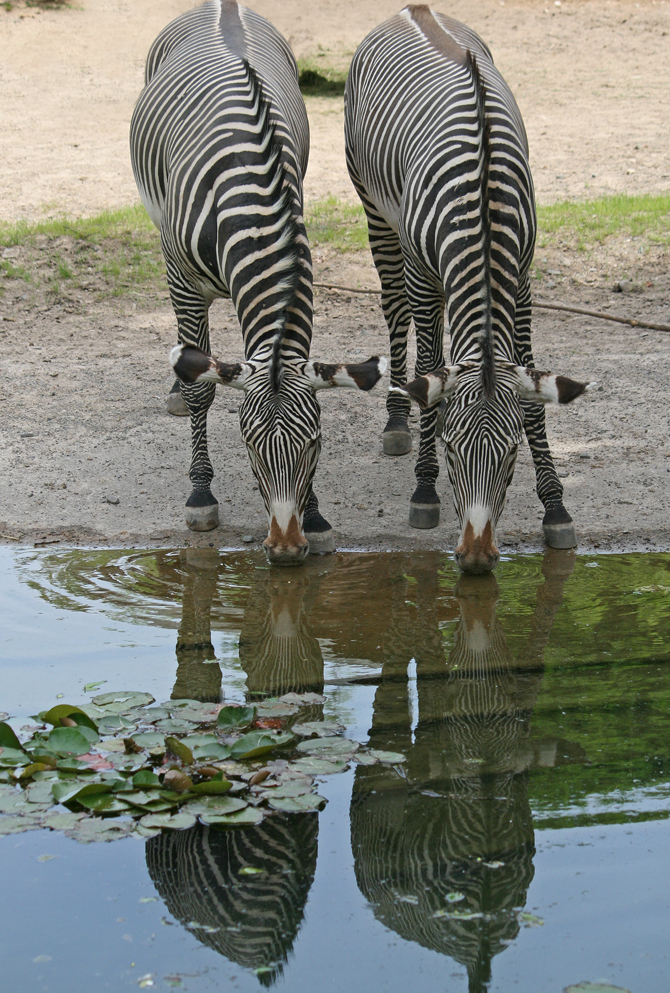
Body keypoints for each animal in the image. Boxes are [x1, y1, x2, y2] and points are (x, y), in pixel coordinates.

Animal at [129, 0, 386, 560]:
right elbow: (202, 390)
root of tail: (221, 5)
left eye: (315, 443)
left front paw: (316, 517)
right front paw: (201, 495)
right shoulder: (185, 283)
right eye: (248, 445)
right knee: (189, 360)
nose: (286, 549)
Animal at [346, 5, 600, 572]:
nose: (478, 557)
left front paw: (556, 507)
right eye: (452, 450)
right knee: (395, 311)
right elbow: (428, 371)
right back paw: (397, 422)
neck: (482, 198)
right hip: (376, 211)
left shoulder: (522, 282)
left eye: (511, 455)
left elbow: (531, 394)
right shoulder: (424, 277)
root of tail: (414, 9)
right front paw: (424, 491)